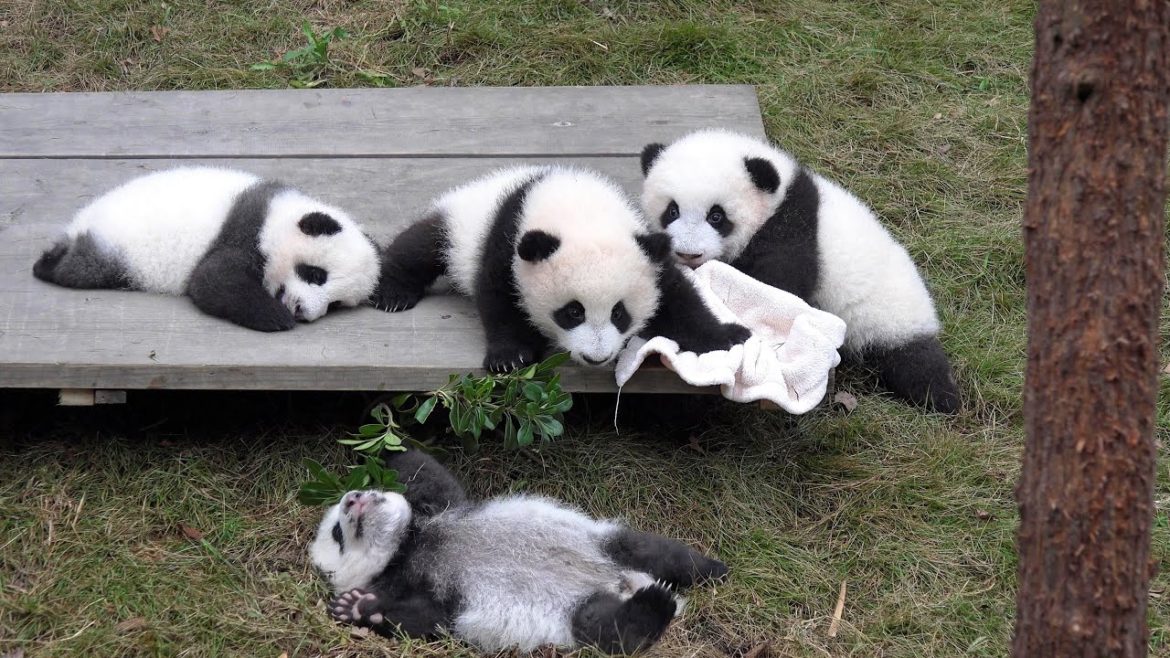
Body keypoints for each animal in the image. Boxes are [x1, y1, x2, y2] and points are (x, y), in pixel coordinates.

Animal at [32, 166, 383, 332]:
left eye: (335, 305)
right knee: (83, 267)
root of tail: (80, 221)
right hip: (114, 247)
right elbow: (212, 282)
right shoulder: (244, 232)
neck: (279, 216)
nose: (303, 311)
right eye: (315, 274)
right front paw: (276, 317)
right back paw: (47, 264)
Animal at [309, 449, 728, 654]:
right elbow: (427, 619)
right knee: (610, 630)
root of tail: (621, 583)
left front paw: (381, 449)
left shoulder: (443, 510)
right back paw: (657, 601)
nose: (352, 499)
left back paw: (713, 569)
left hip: (604, 541)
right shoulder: (431, 593)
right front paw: (356, 607)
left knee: (657, 552)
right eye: (337, 534)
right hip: (575, 614)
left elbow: (426, 473)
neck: (407, 547)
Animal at [374, 165, 750, 372]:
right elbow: (499, 296)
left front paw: (729, 337)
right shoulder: (507, 239)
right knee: (422, 244)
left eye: (619, 313)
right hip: (459, 225)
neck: (579, 209)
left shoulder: (647, 250)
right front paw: (510, 357)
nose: (596, 357)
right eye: (572, 312)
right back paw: (393, 293)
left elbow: (678, 299)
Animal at [639, 130, 960, 413]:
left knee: (916, 364)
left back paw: (942, 398)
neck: (779, 196)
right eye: (672, 211)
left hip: (892, 317)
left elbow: (778, 285)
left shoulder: (792, 230)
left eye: (716, 216)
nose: (688, 253)